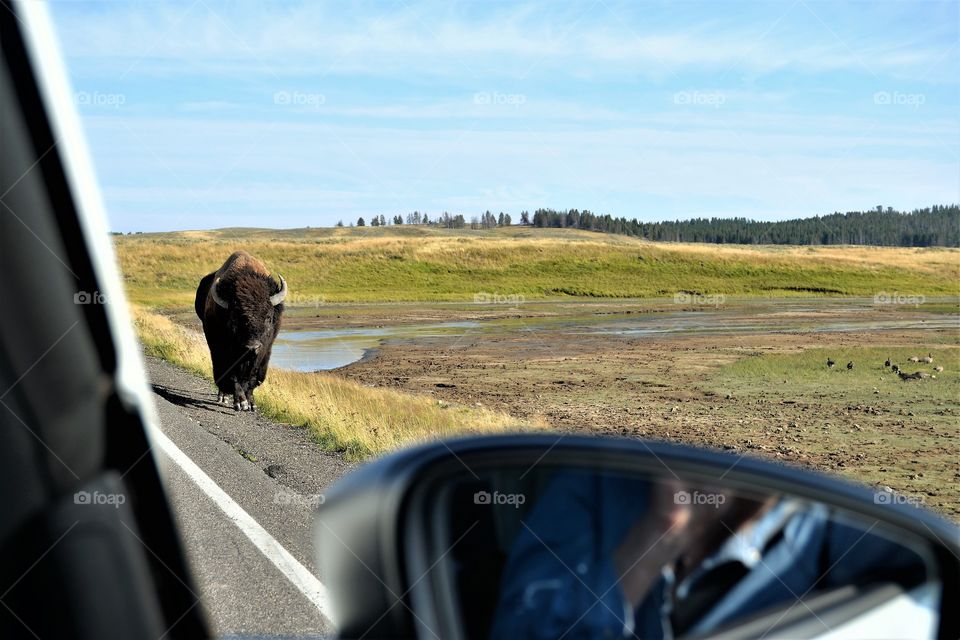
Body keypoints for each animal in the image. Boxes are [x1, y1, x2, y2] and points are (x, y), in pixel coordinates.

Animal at [193, 250, 284, 410]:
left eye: (268, 317)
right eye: (235, 317)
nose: (252, 347)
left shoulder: (264, 353)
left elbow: (253, 378)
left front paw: (251, 403)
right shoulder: (221, 349)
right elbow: (230, 374)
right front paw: (241, 403)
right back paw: (223, 397)